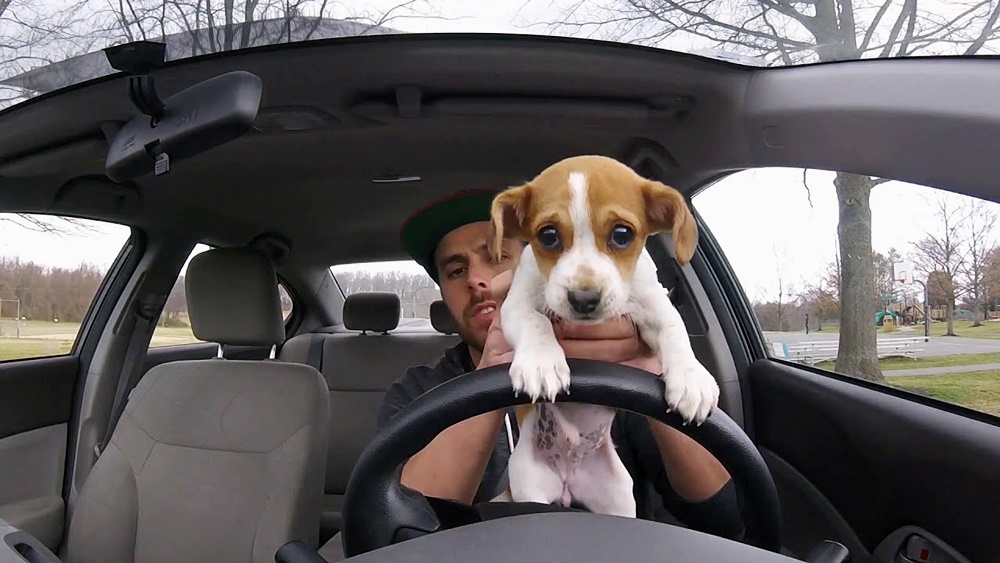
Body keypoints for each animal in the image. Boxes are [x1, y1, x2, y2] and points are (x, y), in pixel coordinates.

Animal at [489, 154, 720, 517]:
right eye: (548, 236)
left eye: (622, 234)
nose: (584, 298)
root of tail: (568, 479)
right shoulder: (515, 304)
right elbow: (535, 322)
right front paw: (542, 363)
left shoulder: (655, 306)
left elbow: (675, 332)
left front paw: (691, 379)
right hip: (529, 487)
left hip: (619, 497)